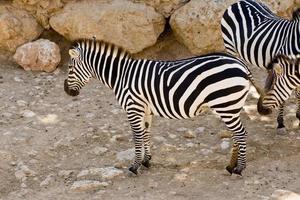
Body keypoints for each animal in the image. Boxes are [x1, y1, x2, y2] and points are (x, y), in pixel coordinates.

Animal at [63, 38, 262, 175]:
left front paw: (135, 166)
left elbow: (137, 137)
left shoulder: (133, 107)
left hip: (226, 104)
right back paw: (230, 166)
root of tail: (241, 64)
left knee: (241, 133)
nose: (66, 91)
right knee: (236, 135)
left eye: (70, 69)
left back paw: (239, 169)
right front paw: (146, 161)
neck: (121, 75)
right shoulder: (145, 109)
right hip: (230, 106)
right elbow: (146, 133)